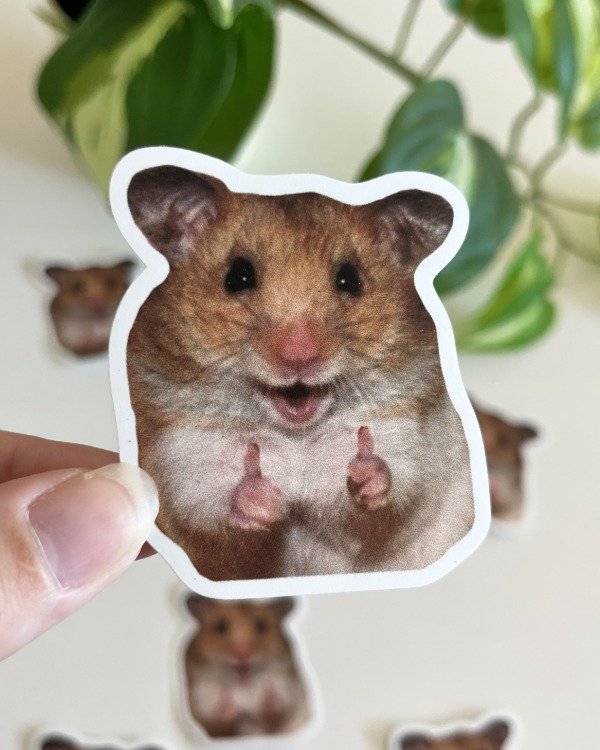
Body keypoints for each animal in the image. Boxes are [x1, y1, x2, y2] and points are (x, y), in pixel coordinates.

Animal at [126, 166, 475, 580]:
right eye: (237, 276)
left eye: (350, 279)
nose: (299, 357)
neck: (296, 437)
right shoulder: (182, 465)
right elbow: (215, 515)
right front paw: (265, 499)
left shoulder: (409, 445)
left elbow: (387, 500)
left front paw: (364, 470)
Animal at [184, 595, 309, 738]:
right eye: (220, 627)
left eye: (262, 626)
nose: (243, 654)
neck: (243, 683)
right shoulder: (201, 702)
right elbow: (218, 719)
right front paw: (225, 698)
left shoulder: (287, 690)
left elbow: (274, 709)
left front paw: (268, 690)